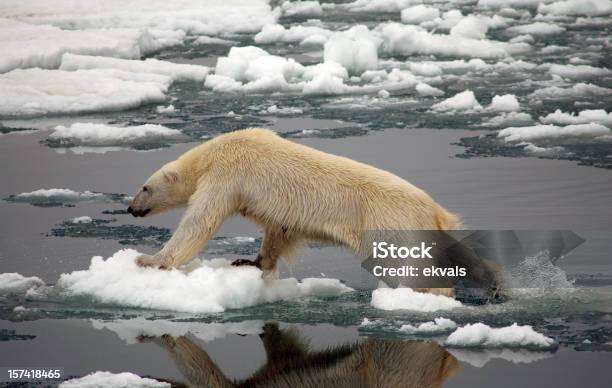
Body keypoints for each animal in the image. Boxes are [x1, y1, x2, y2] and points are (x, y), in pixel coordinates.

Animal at [130, 129, 464, 292]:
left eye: (145, 188)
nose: (131, 208)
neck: (211, 153)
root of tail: (438, 212)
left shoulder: (227, 174)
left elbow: (200, 221)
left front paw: (149, 259)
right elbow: (278, 229)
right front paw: (250, 261)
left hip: (392, 224)